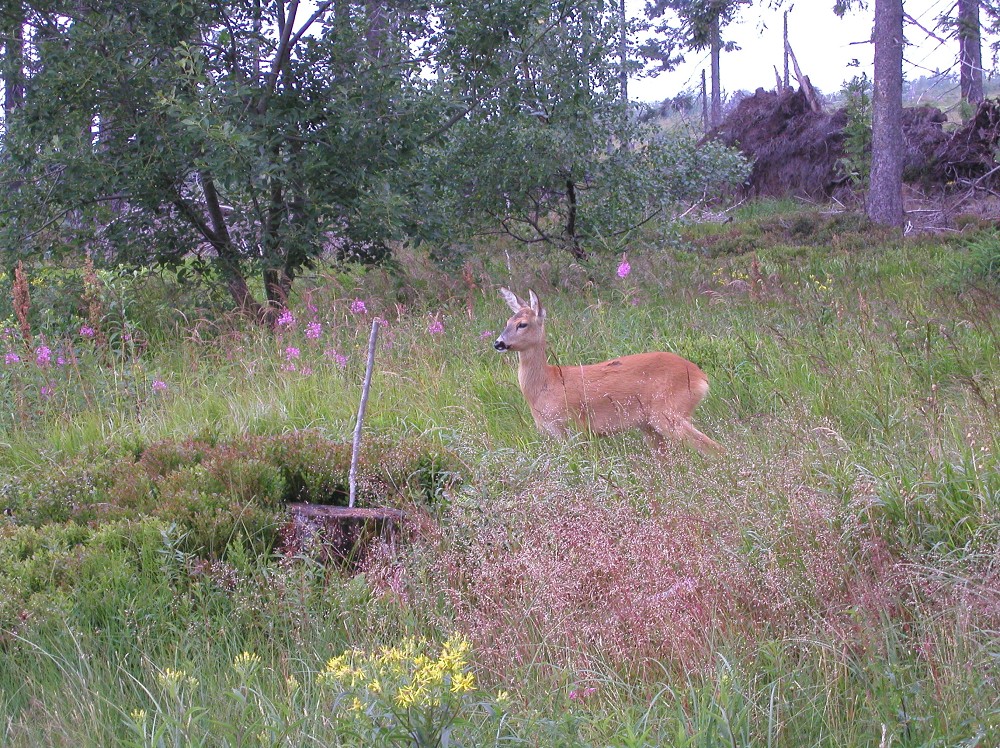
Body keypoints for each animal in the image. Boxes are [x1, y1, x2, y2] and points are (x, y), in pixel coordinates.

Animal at [494, 290, 724, 456]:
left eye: (522, 324)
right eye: (507, 322)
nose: (498, 343)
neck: (546, 384)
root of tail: (701, 377)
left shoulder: (574, 427)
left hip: (669, 412)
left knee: (714, 449)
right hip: (650, 424)